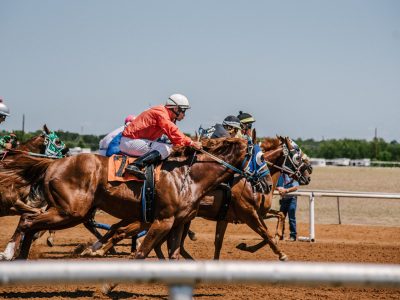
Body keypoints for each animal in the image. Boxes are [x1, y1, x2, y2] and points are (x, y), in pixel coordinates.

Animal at [2, 138, 260, 260]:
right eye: (259, 157)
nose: (263, 184)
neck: (188, 176)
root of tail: (53, 164)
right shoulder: (163, 221)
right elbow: (141, 251)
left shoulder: (177, 223)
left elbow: (173, 254)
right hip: (70, 212)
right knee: (28, 221)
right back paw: (9, 253)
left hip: (68, 211)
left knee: (30, 221)